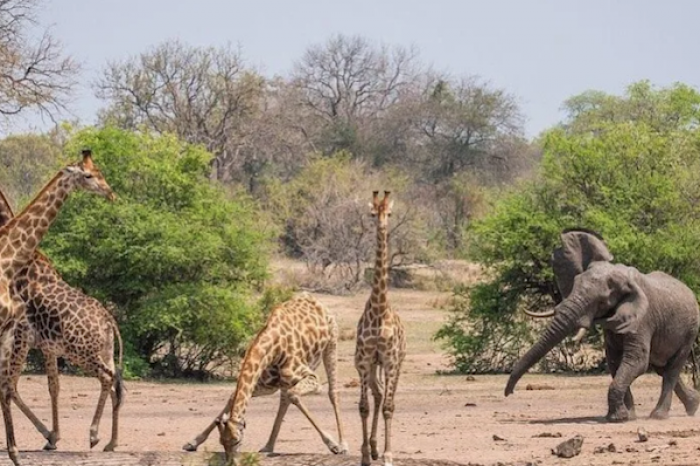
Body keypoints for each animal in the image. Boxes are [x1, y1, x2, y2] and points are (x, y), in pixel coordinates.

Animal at [0, 150, 115, 466]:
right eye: (88, 174)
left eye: (98, 171)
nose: (110, 192)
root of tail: (110, 320)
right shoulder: (27, 337)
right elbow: (26, 386)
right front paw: (48, 437)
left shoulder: (20, 335)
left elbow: (25, 385)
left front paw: (47, 438)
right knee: (114, 381)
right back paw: (104, 439)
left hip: (84, 350)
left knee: (111, 379)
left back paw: (100, 437)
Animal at [183, 294, 348, 464]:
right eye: (221, 442)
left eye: (237, 440)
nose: (231, 462)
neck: (272, 347)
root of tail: (314, 299)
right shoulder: (264, 385)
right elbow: (232, 398)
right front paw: (193, 442)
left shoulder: (312, 378)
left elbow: (294, 395)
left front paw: (333, 444)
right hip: (284, 381)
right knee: (284, 401)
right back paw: (268, 446)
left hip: (332, 343)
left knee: (332, 392)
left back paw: (342, 444)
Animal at [506, 229, 696, 422]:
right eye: (574, 284)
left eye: (602, 302)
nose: (509, 393)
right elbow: (614, 361)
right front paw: (626, 416)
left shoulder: (642, 320)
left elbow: (636, 361)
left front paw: (618, 418)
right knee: (662, 367)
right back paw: (693, 405)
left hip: (691, 331)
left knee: (671, 370)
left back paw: (659, 416)